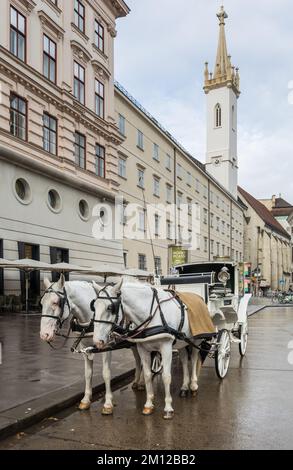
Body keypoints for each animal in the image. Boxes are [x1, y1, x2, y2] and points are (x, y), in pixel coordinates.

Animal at [39, 276, 144, 414]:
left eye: (56, 302)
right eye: (41, 303)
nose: (44, 335)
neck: (91, 318)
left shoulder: (106, 346)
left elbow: (106, 373)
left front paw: (108, 403)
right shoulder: (85, 347)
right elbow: (88, 373)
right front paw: (86, 400)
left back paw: (142, 382)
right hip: (133, 343)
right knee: (138, 359)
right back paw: (137, 381)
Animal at [93, 278, 201, 420]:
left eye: (110, 307)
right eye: (94, 306)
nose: (97, 342)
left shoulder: (166, 347)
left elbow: (166, 376)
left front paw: (168, 408)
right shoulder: (142, 349)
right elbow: (148, 375)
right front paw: (149, 404)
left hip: (196, 340)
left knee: (193, 359)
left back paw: (193, 386)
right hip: (181, 341)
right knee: (183, 360)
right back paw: (184, 387)